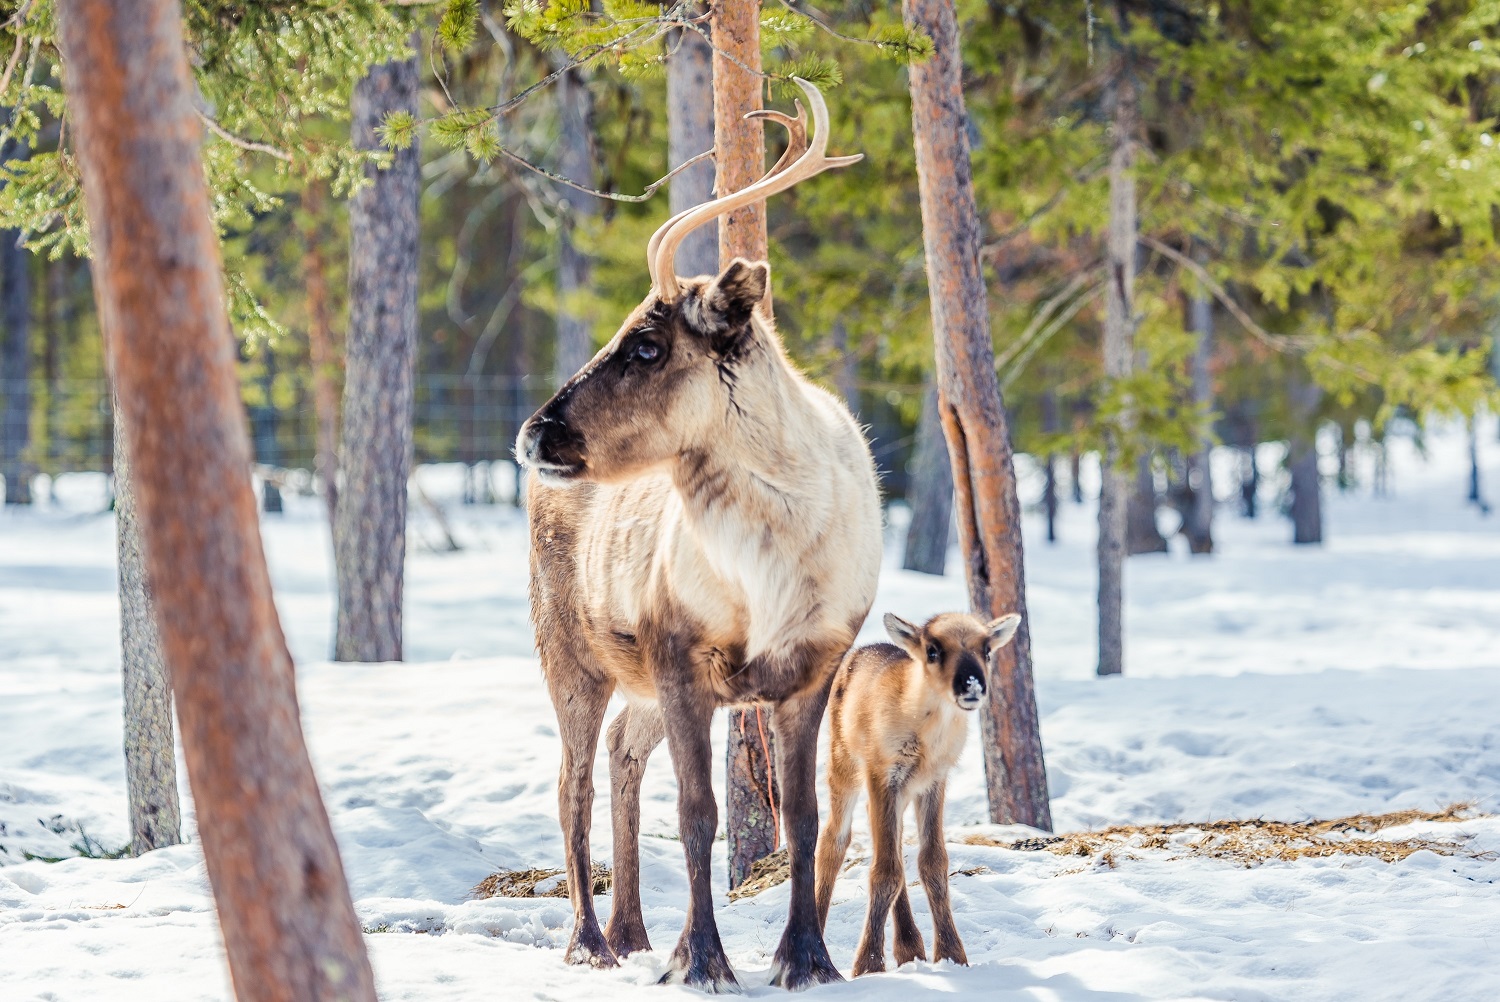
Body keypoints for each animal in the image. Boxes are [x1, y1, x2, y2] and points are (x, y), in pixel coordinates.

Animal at [816, 606, 1026, 972]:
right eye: (932, 650)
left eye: (987, 650)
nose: (972, 684)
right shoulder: (883, 774)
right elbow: (884, 871)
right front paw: (868, 964)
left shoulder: (933, 782)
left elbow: (932, 862)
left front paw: (952, 954)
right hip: (844, 766)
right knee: (832, 841)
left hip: (895, 794)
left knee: (892, 848)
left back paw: (909, 947)